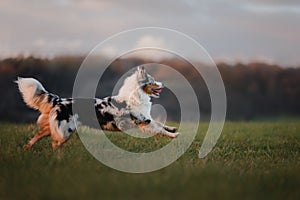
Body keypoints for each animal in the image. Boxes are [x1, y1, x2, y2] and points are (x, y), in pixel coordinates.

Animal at [15, 66, 178, 149]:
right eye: (153, 81)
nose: (163, 84)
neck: (135, 95)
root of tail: (59, 100)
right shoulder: (144, 122)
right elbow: (159, 129)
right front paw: (173, 135)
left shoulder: (147, 119)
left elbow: (161, 123)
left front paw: (173, 129)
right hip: (64, 131)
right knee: (54, 144)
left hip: (53, 128)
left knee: (36, 136)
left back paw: (26, 149)